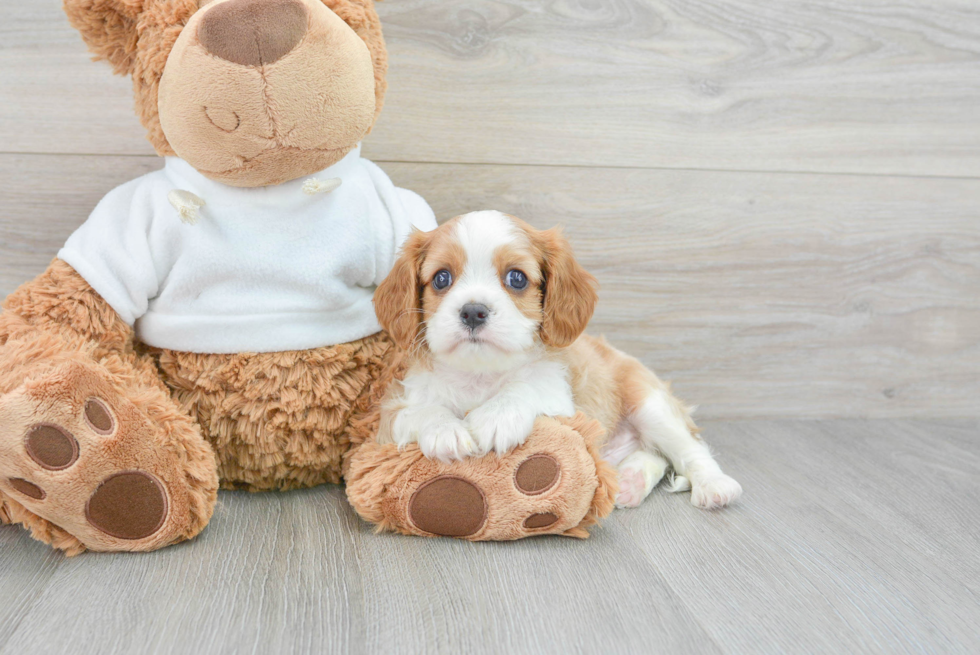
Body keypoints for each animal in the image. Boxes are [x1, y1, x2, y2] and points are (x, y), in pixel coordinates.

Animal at [372, 213, 740, 510]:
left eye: (517, 278)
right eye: (441, 278)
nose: (473, 311)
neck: (481, 375)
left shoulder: (562, 401)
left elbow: (526, 387)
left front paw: (497, 416)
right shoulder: (389, 417)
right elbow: (419, 410)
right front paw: (444, 429)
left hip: (649, 402)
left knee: (688, 448)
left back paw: (715, 486)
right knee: (655, 454)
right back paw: (629, 481)